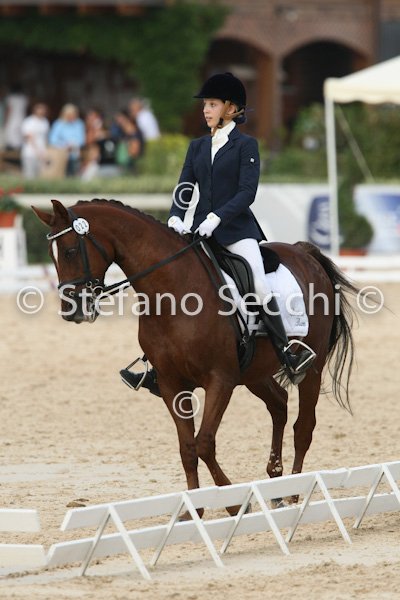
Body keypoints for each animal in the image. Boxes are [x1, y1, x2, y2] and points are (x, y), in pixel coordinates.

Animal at [33, 198, 358, 513]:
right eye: (51, 255)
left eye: (71, 251)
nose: (72, 311)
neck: (171, 292)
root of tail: (304, 252)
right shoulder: (171, 384)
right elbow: (187, 448)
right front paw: (194, 510)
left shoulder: (220, 380)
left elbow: (204, 443)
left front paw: (233, 502)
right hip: (254, 372)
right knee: (278, 405)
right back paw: (276, 482)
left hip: (311, 367)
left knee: (303, 427)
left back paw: (293, 493)